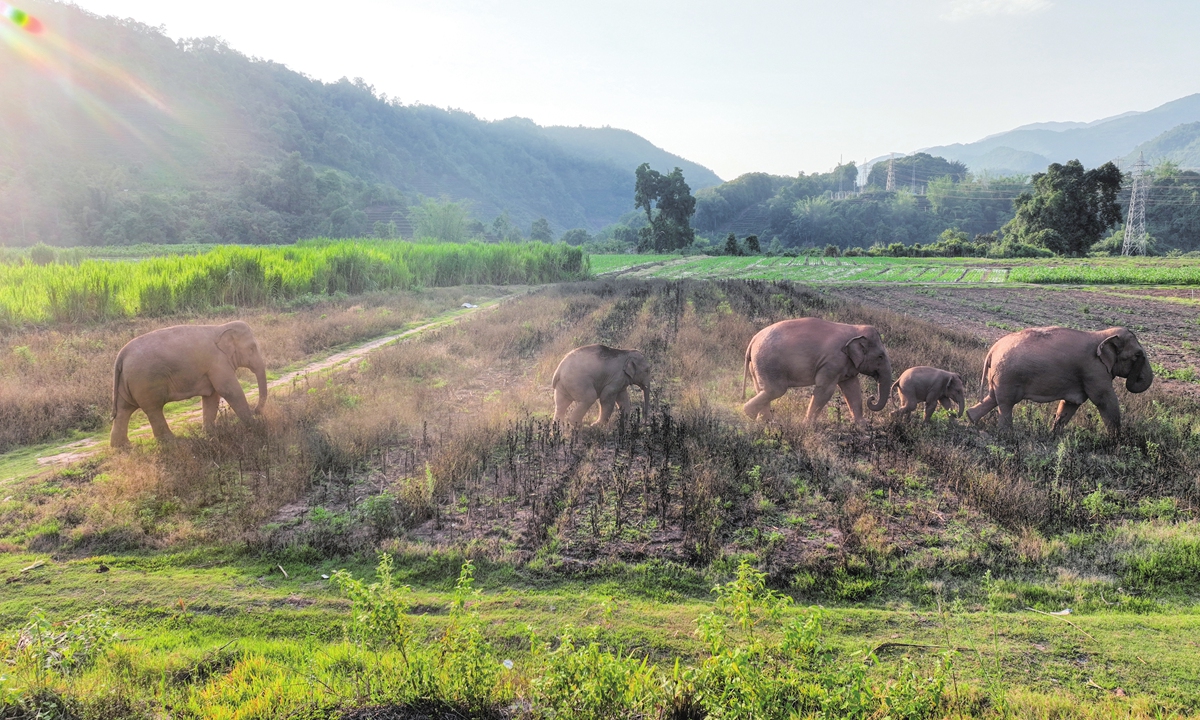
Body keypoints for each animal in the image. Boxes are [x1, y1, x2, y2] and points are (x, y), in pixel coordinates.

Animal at [111, 321, 268, 447]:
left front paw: (209, 433)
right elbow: (228, 390)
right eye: (252, 348)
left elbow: (212, 396)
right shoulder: (218, 362)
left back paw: (122, 446)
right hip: (145, 381)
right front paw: (254, 424)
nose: (256, 410)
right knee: (153, 409)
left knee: (124, 410)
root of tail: (121, 355)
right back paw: (172, 442)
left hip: (126, 382)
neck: (221, 327)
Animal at [741, 317, 893, 423]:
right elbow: (825, 390)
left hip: (758, 364)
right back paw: (749, 414)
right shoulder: (832, 361)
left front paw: (862, 425)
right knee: (776, 389)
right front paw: (807, 426)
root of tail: (753, 340)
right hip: (768, 362)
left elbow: (852, 388)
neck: (855, 328)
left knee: (763, 389)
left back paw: (765, 421)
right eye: (880, 356)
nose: (872, 398)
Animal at [965, 326, 1153, 434]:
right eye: (1137, 355)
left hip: (999, 375)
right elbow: (1104, 399)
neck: (1103, 335)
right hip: (1008, 376)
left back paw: (970, 418)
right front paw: (1116, 442)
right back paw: (1007, 435)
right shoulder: (1094, 369)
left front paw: (1053, 435)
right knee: (1005, 403)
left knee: (993, 398)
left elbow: (1070, 404)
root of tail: (993, 349)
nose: (1141, 356)